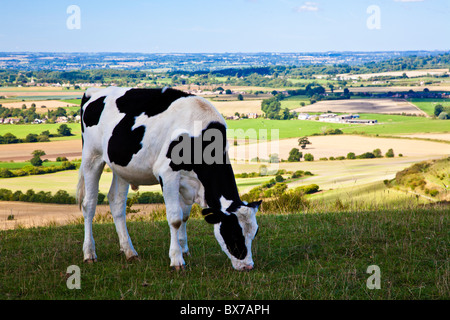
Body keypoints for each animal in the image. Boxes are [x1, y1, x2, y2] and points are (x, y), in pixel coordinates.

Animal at [76, 86, 260, 272]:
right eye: (233, 233)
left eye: (254, 233)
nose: (248, 266)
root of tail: (94, 91)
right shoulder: (168, 173)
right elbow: (175, 218)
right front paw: (177, 259)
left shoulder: (189, 183)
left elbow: (185, 215)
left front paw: (184, 249)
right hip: (92, 157)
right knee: (89, 205)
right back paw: (89, 253)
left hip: (121, 168)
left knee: (117, 203)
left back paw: (129, 251)